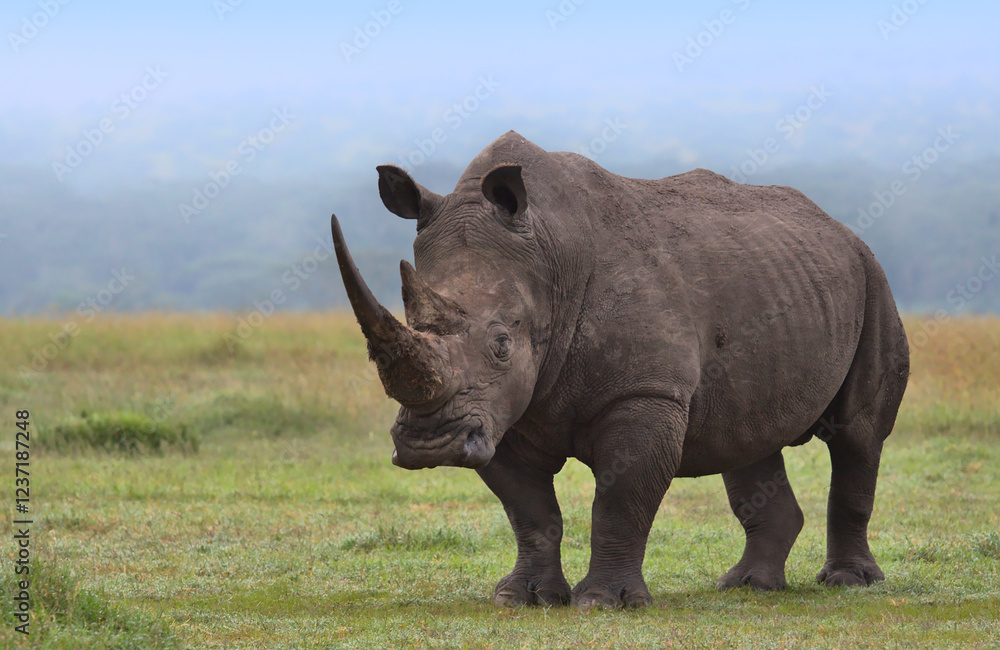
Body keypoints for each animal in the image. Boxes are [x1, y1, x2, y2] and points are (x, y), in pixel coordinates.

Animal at [330, 131, 909, 608]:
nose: (430, 445)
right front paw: (522, 598)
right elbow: (530, 512)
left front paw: (605, 603)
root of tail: (838, 227)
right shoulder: (497, 412)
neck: (548, 258)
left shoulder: (644, 393)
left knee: (857, 436)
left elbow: (620, 500)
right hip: (782, 278)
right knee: (747, 436)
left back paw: (848, 583)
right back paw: (748, 587)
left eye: (501, 345)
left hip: (872, 278)